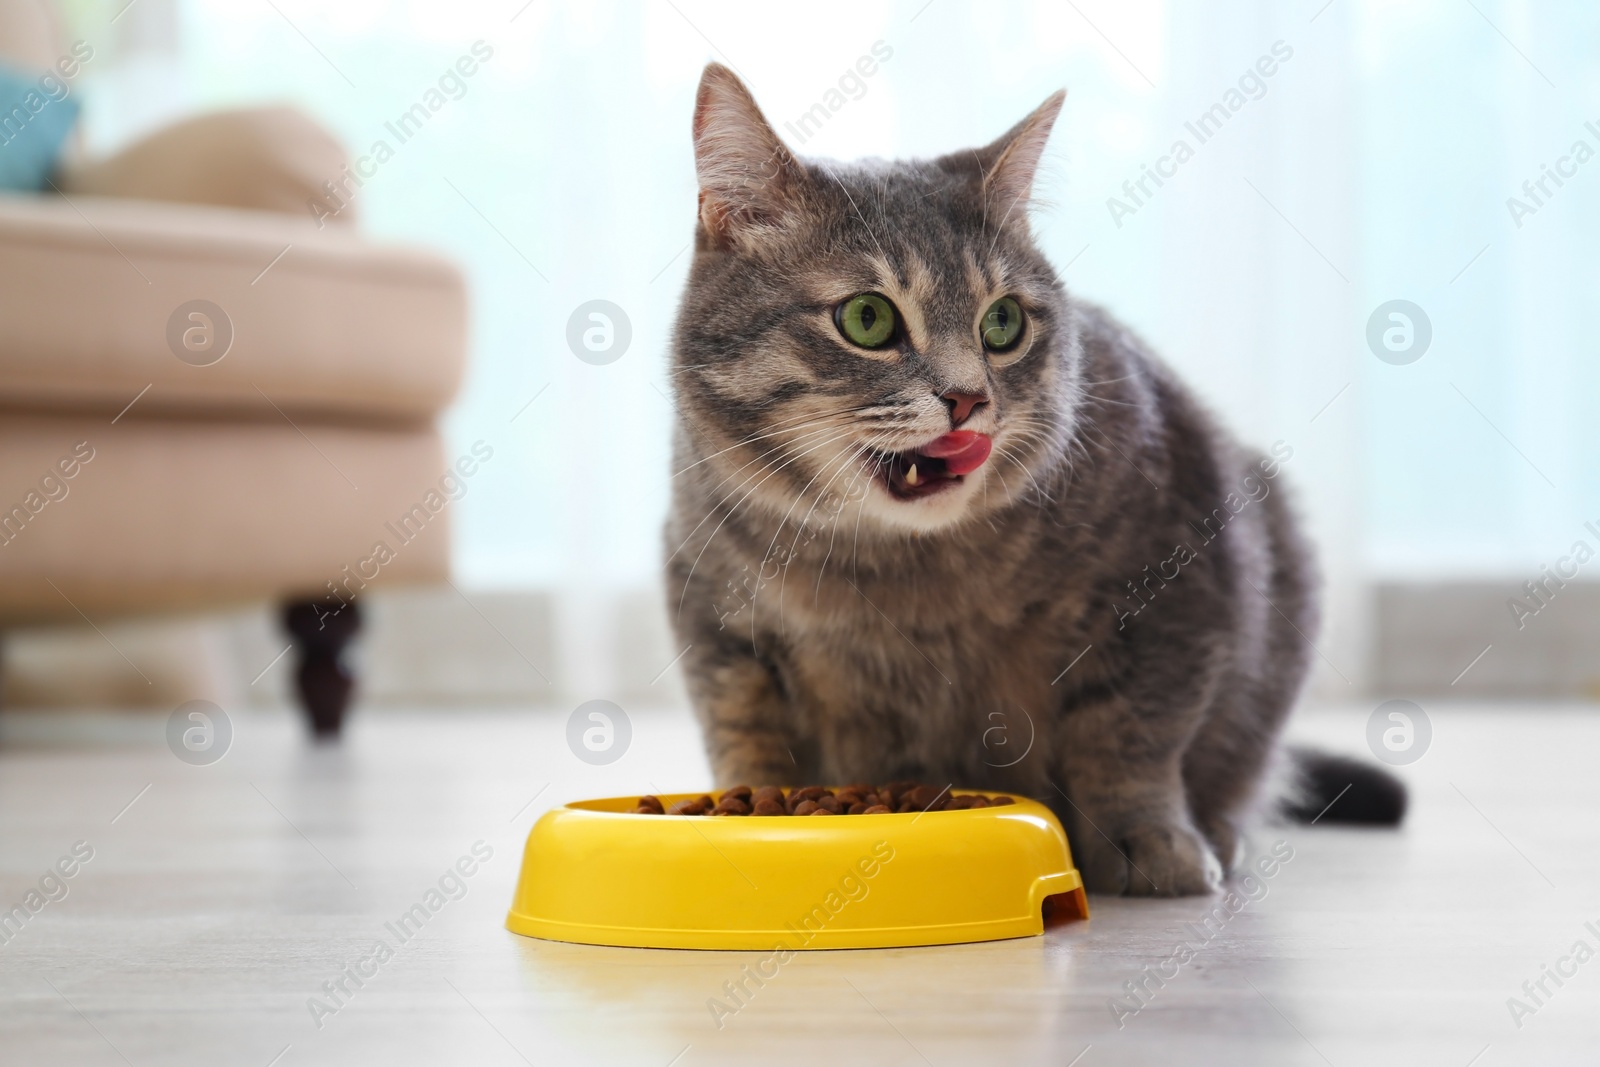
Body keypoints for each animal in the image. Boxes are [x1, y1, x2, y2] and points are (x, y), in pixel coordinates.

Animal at [662, 58, 1401, 895]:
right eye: (867, 320)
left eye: (1004, 322)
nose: (967, 397)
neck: (896, 571)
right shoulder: (715, 619)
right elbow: (745, 733)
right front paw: (744, 821)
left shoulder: (1175, 578)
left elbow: (1132, 734)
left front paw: (1150, 840)